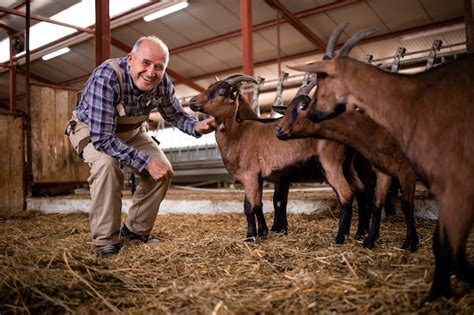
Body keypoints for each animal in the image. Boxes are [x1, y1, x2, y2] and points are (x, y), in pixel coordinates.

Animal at [189, 75, 374, 243]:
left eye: (221, 92)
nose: (192, 101)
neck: (239, 133)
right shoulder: (259, 177)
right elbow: (258, 204)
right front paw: (263, 232)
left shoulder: (249, 174)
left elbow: (249, 206)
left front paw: (250, 237)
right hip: (347, 165)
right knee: (361, 191)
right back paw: (360, 233)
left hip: (330, 163)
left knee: (346, 194)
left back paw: (341, 237)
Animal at [288, 24, 474, 302]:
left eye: (301, 106)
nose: (278, 130)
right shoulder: (384, 171)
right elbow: (376, 203)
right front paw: (369, 239)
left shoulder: (408, 171)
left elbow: (408, 205)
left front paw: (410, 243)